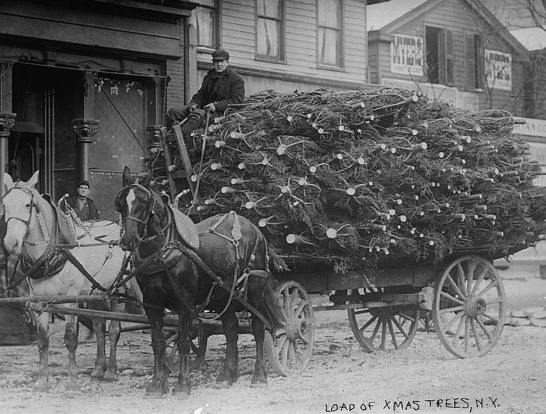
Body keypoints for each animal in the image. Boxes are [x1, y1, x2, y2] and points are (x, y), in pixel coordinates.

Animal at [1, 171, 140, 392]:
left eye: (28, 205)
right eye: (5, 204)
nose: (10, 243)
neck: (53, 253)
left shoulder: (69, 301)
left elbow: (71, 339)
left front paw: (73, 379)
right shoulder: (40, 303)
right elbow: (43, 341)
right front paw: (42, 380)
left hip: (118, 293)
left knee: (113, 331)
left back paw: (110, 371)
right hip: (96, 294)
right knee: (99, 329)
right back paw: (97, 370)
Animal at [115, 169, 284, 398]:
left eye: (143, 201)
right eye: (121, 202)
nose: (128, 239)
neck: (163, 251)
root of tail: (255, 229)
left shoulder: (184, 302)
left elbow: (184, 341)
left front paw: (182, 385)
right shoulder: (152, 304)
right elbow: (158, 342)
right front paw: (157, 384)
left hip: (254, 290)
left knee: (258, 328)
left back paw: (259, 376)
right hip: (225, 295)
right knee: (231, 330)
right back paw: (226, 377)